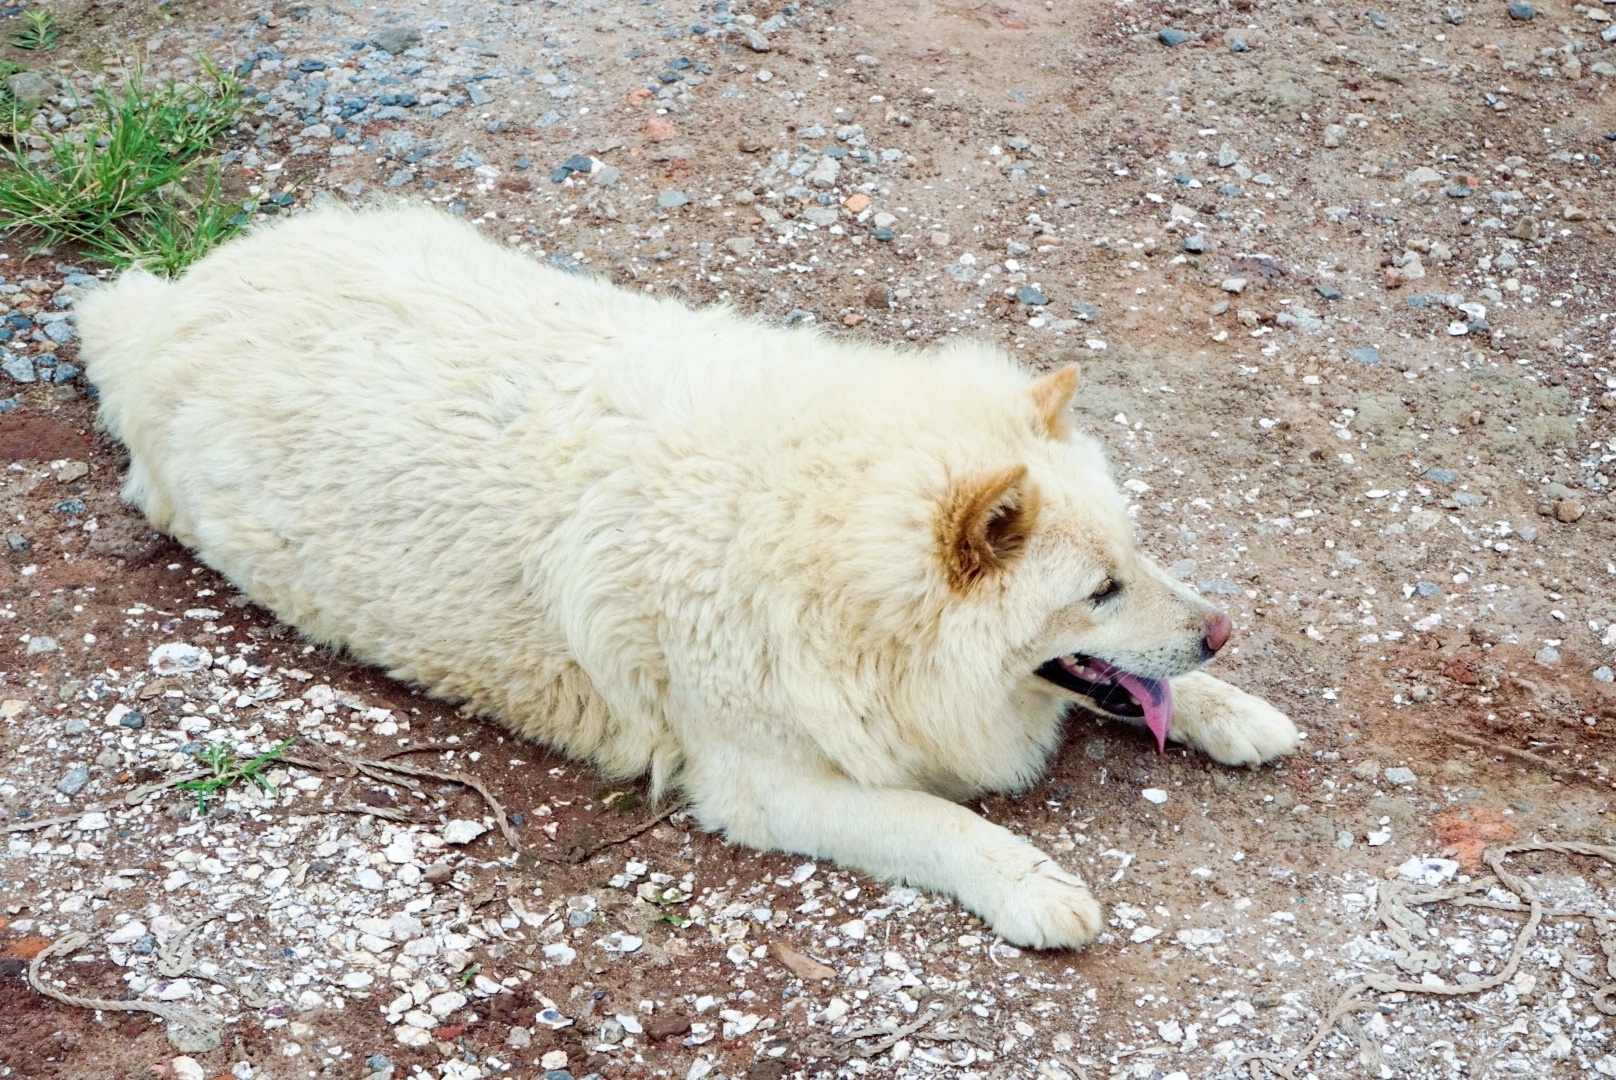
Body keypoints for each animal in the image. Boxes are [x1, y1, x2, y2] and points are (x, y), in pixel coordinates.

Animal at [78, 204, 1299, 944]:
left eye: (1132, 556)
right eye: (1095, 592)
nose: (1225, 630)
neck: (815, 528)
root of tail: (176, 301)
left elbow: (1157, 692)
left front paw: (1234, 709)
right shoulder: (765, 785)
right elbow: (940, 824)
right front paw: (1034, 889)